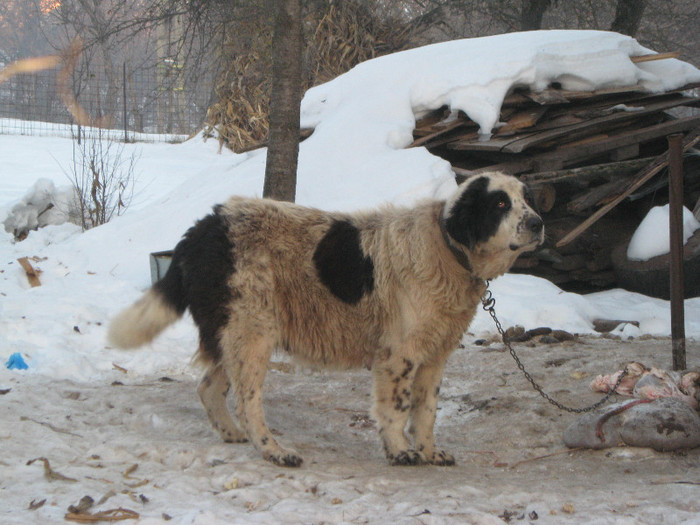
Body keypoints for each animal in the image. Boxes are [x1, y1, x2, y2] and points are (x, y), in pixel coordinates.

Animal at [109, 172, 544, 466]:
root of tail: (205, 227)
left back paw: (233, 435)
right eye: (499, 204)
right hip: (252, 334)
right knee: (248, 403)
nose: (539, 223)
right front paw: (400, 451)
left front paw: (428, 452)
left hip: (233, 334)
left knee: (209, 388)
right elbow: (396, 409)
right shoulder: (399, 355)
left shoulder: (434, 357)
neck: (447, 249)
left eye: (526, 199)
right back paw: (273, 450)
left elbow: (425, 412)